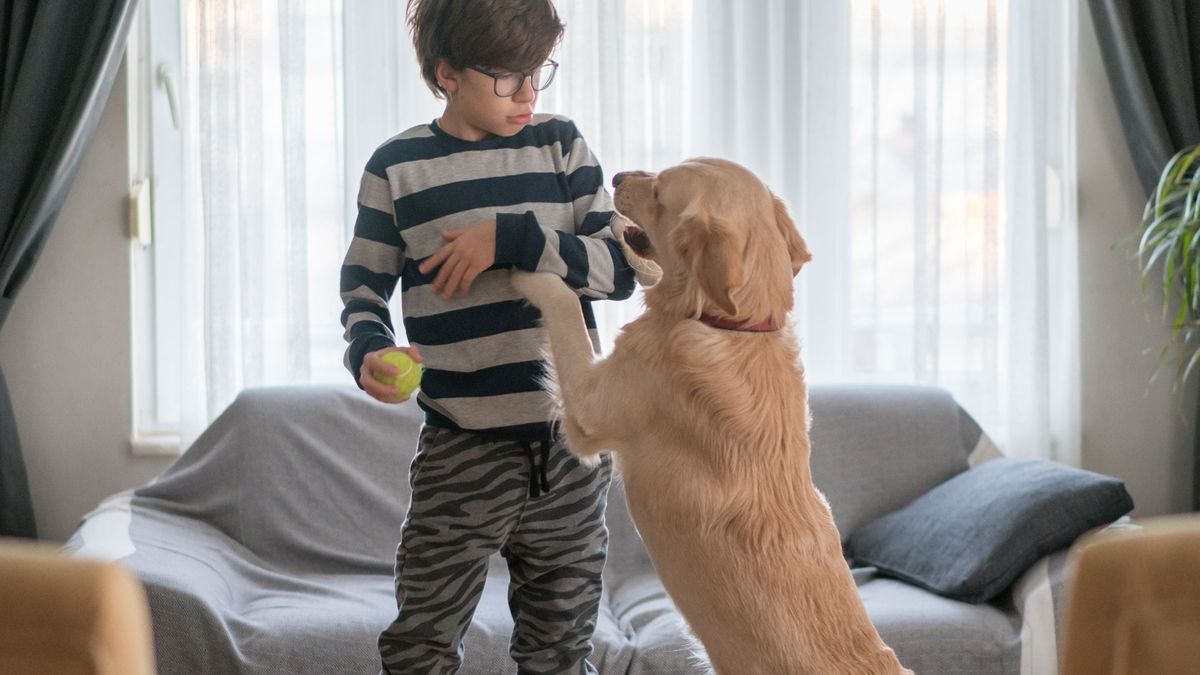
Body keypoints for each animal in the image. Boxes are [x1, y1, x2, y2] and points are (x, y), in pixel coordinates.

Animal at [506, 157, 907, 672]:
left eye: (660, 193)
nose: (616, 178)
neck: (734, 326)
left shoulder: (590, 412)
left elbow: (565, 308)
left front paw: (528, 267)